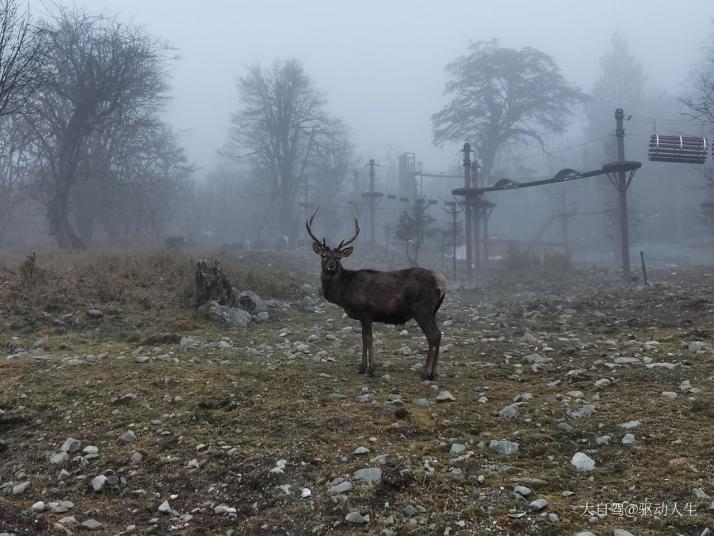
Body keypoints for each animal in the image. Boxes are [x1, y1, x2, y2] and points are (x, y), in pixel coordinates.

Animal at [304, 207, 444, 378]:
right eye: (323, 255)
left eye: (339, 257)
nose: (331, 266)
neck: (344, 291)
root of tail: (441, 283)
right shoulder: (363, 316)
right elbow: (363, 338)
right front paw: (362, 368)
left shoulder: (365, 311)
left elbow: (368, 339)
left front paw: (370, 369)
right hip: (433, 312)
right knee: (438, 334)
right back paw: (434, 372)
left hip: (421, 309)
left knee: (433, 335)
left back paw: (426, 373)